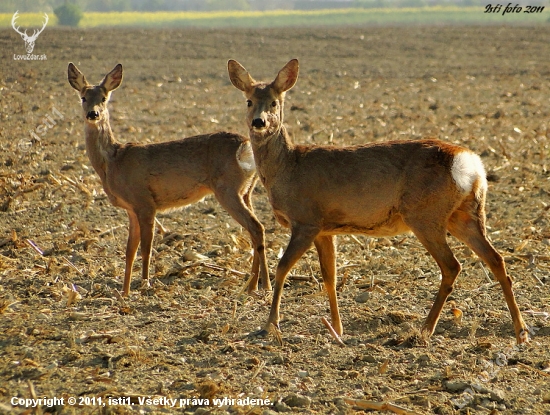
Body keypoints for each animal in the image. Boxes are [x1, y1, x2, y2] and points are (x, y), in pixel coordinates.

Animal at [69, 62, 272, 296]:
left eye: (103, 98)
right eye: (83, 97)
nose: (93, 114)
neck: (113, 160)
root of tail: (246, 146)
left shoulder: (145, 203)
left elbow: (146, 248)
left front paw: (145, 284)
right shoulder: (131, 209)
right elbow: (130, 251)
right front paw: (125, 291)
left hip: (228, 189)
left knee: (256, 227)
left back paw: (264, 285)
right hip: (246, 191)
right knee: (255, 229)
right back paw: (252, 284)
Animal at [229, 58, 532, 344]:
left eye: (274, 101)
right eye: (249, 100)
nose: (259, 122)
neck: (288, 167)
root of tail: (470, 164)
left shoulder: (306, 221)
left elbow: (282, 268)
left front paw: (270, 325)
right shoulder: (325, 229)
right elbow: (330, 277)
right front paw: (337, 329)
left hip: (425, 215)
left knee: (452, 265)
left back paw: (425, 329)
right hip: (465, 214)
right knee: (496, 259)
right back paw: (521, 332)